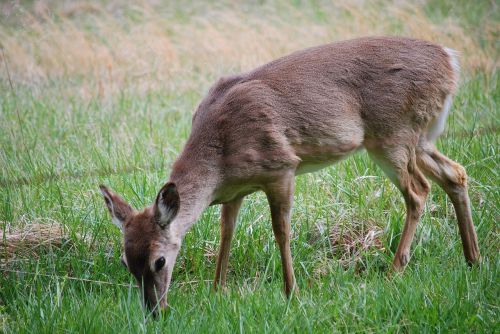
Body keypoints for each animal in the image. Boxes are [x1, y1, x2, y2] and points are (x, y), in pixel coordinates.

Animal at [98, 37, 480, 316]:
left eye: (159, 261)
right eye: (125, 262)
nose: (154, 311)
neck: (219, 156)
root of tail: (450, 60)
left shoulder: (281, 167)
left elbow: (281, 231)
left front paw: (291, 292)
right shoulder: (234, 191)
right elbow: (226, 233)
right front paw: (217, 290)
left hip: (392, 134)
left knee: (419, 191)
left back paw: (395, 270)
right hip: (419, 137)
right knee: (456, 173)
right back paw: (472, 258)